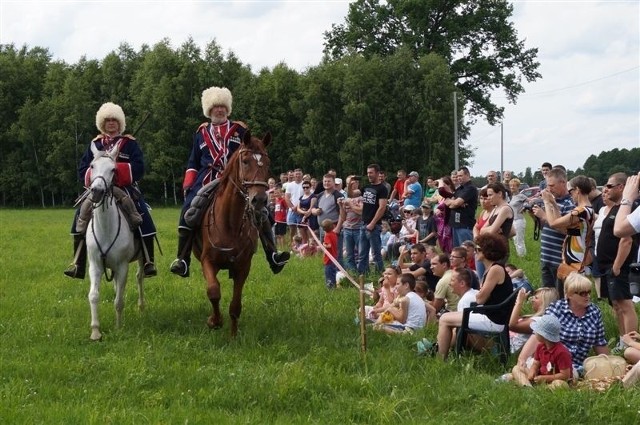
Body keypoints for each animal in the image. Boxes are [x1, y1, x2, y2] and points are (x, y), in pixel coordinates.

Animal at [85, 141, 144, 340]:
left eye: (113, 169)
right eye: (92, 166)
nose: (96, 191)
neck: (106, 229)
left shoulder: (122, 266)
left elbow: (119, 300)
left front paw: (119, 328)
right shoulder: (95, 265)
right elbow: (94, 295)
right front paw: (96, 331)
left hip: (140, 259)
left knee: (139, 277)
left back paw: (142, 306)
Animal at [191, 131, 268, 336]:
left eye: (267, 162)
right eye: (245, 161)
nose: (259, 200)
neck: (230, 224)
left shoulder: (243, 266)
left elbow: (235, 305)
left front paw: (233, 335)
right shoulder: (207, 261)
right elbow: (213, 291)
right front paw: (214, 321)